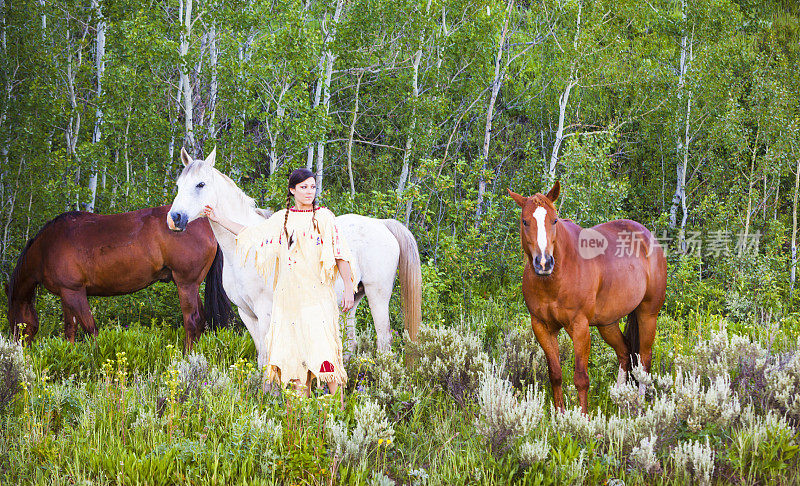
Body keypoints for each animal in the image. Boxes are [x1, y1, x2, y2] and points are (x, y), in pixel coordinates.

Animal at [6, 206, 233, 350]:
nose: (20, 347)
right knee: (200, 321)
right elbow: (70, 329)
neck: (46, 247)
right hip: (191, 285)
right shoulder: (66, 294)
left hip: (186, 284)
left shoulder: (74, 292)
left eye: (14, 320)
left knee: (192, 321)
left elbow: (90, 329)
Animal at [166, 148, 422, 368]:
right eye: (178, 185)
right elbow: (261, 355)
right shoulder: (247, 314)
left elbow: (268, 357)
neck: (247, 249)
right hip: (350, 301)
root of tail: (382, 224)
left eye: (200, 184)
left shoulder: (266, 312)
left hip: (377, 294)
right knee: (350, 344)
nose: (174, 218)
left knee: (384, 341)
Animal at [510, 182, 664, 414]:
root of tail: (648, 236)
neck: (556, 278)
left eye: (554, 220)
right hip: (608, 323)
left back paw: (637, 406)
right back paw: (620, 401)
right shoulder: (541, 327)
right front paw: (560, 415)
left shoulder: (580, 326)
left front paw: (583, 418)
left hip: (648, 314)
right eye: (525, 221)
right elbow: (555, 374)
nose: (544, 263)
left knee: (644, 361)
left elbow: (581, 378)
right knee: (625, 351)